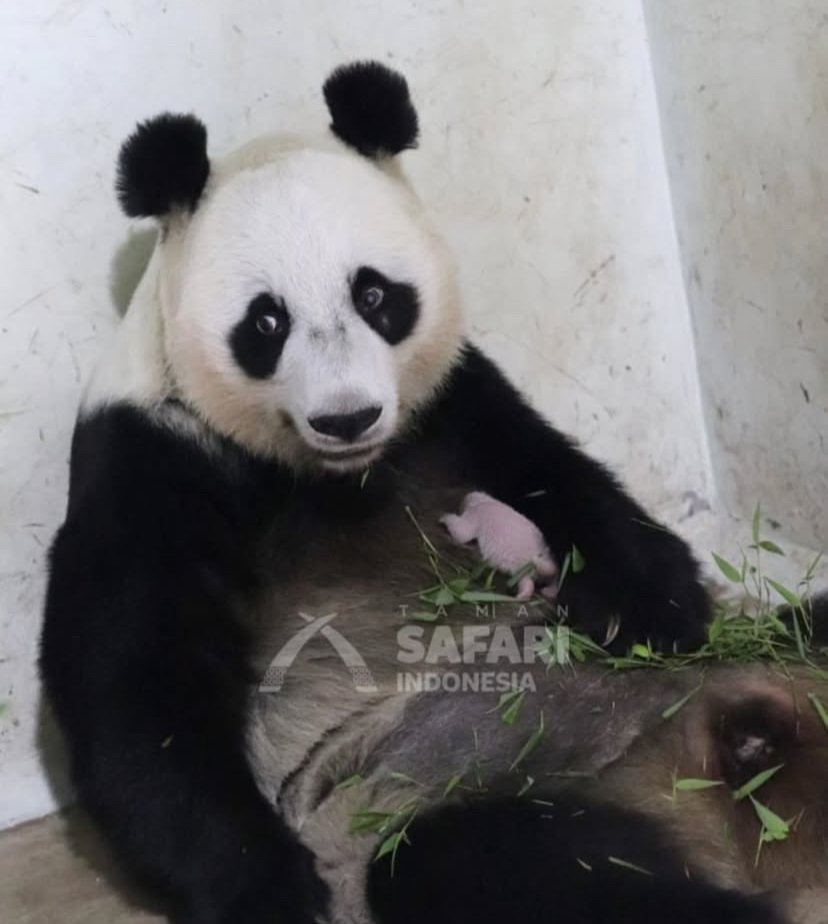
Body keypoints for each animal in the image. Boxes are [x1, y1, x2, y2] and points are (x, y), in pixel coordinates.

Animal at [39, 61, 826, 924]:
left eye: (375, 296)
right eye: (266, 322)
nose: (346, 416)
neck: (332, 475)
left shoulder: (452, 403)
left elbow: (560, 477)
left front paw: (652, 608)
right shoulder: (152, 459)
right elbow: (139, 690)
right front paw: (271, 888)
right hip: (461, 800)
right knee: (496, 864)